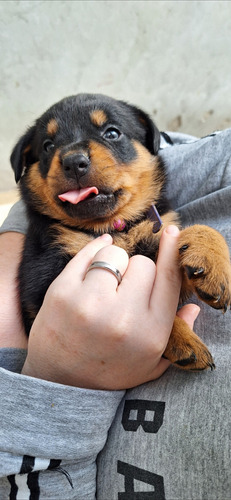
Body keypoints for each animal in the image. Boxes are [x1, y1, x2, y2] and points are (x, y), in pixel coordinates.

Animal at [10, 94, 231, 372]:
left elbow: (201, 230)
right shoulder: (39, 287)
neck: (113, 227)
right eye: (48, 146)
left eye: (112, 133)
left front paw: (212, 267)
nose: (73, 162)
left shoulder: (158, 232)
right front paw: (183, 339)